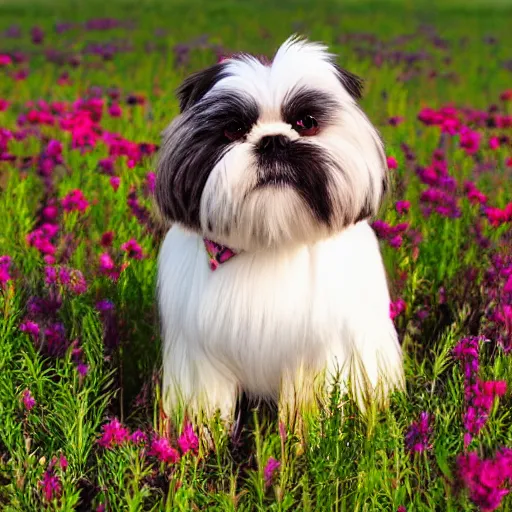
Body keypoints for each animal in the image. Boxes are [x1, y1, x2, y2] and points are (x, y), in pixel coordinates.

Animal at [155, 36, 404, 426]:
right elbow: (205, 408)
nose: (273, 140)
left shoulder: (315, 352)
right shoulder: (200, 357)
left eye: (307, 122)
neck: (272, 239)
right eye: (233, 130)